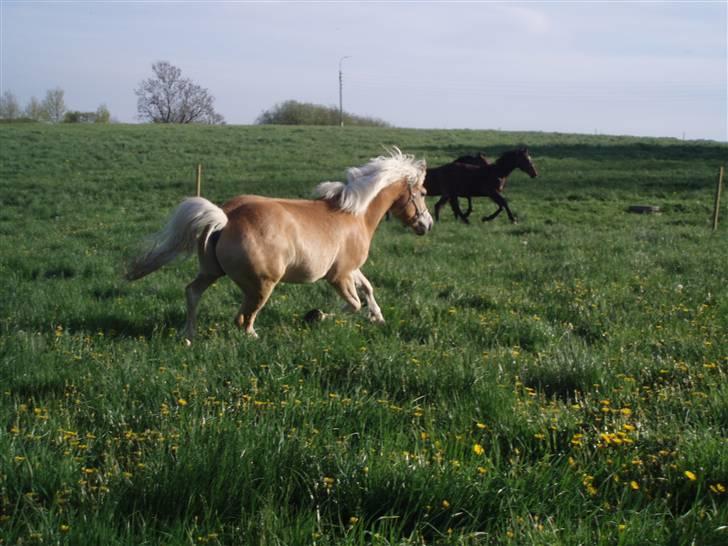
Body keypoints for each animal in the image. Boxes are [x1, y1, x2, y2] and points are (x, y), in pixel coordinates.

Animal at [125, 148, 432, 336]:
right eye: (422, 193)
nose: (427, 225)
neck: (355, 214)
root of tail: (226, 217)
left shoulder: (349, 269)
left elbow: (367, 288)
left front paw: (377, 317)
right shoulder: (339, 276)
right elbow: (354, 303)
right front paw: (317, 315)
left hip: (213, 272)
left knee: (192, 292)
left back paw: (188, 334)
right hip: (262, 284)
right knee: (242, 318)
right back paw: (252, 336)